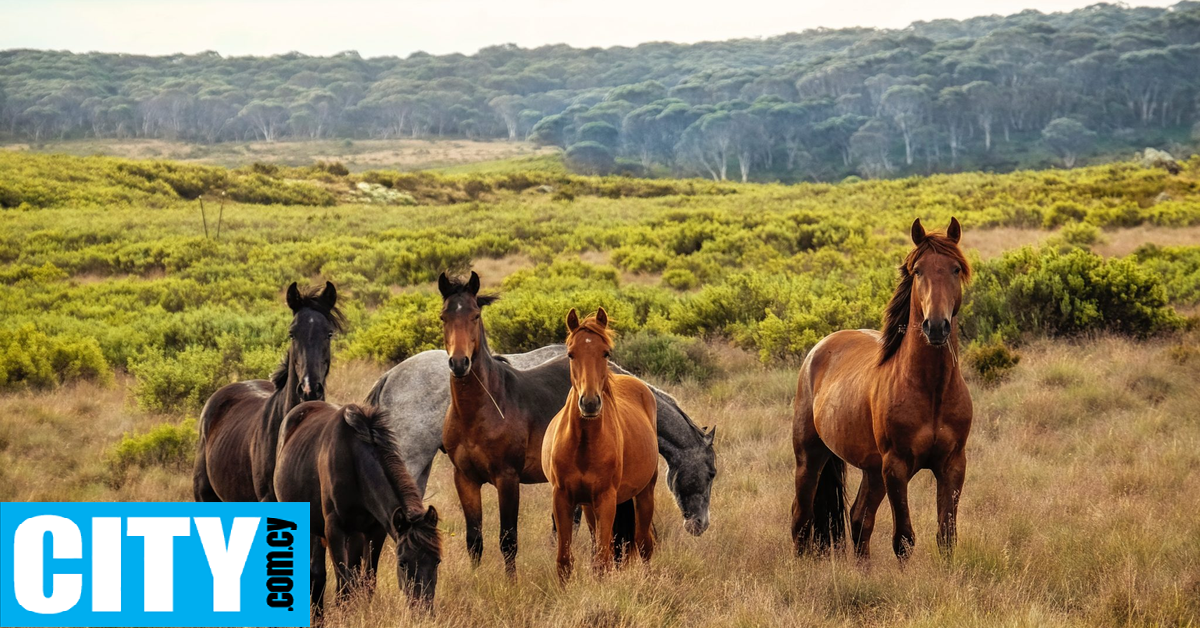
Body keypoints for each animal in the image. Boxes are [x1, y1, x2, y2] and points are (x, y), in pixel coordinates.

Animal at [273, 403, 441, 619]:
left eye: (437, 561)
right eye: (402, 563)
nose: (424, 611)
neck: (354, 463)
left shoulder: (375, 531)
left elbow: (366, 582)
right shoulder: (334, 530)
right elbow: (343, 586)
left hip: (351, 535)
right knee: (317, 575)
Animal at [542, 309, 657, 585]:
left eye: (605, 352)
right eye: (571, 353)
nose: (590, 403)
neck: (583, 445)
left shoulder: (606, 499)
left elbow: (604, 560)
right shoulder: (563, 497)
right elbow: (565, 560)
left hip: (645, 493)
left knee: (644, 544)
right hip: (587, 505)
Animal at [787, 218, 974, 561]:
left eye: (955, 269)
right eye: (918, 271)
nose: (936, 326)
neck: (932, 389)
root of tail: (819, 349)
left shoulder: (953, 465)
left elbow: (946, 536)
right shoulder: (896, 468)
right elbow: (904, 539)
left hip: (872, 471)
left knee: (859, 519)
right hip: (810, 457)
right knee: (801, 519)